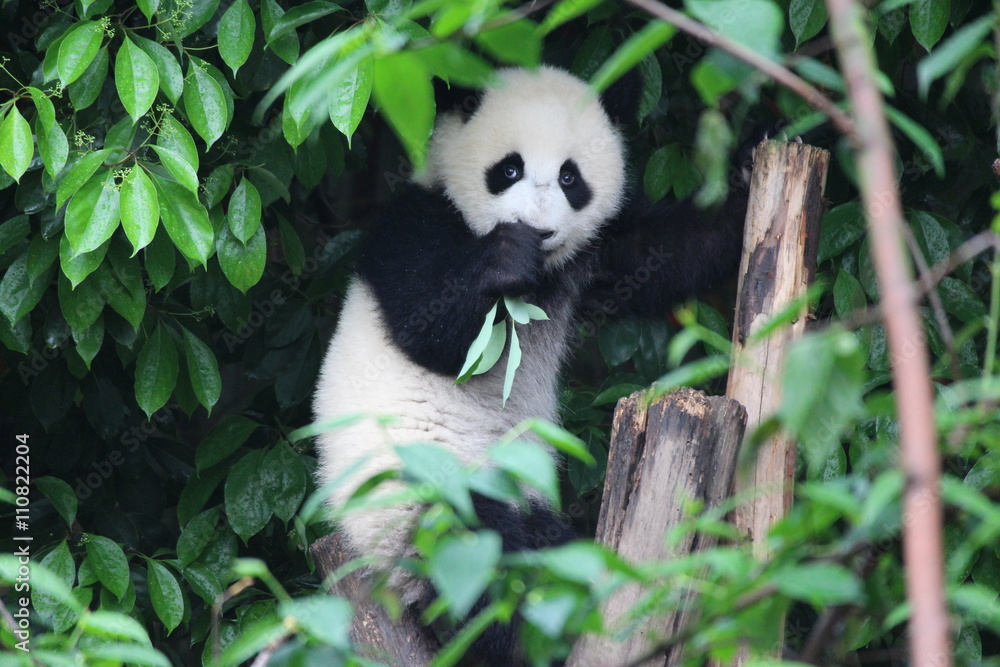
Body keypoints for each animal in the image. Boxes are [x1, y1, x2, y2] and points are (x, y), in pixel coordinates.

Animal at [312, 65, 749, 661]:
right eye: (509, 169)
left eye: (569, 177)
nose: (538, 229)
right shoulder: (413, 225)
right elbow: (430, 331)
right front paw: (506, 259)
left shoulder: (593, 256)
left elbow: (667, 251)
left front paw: (752, 171)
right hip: (407, 489)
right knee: (473, 542)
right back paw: (499, 637)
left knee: (544, 542)